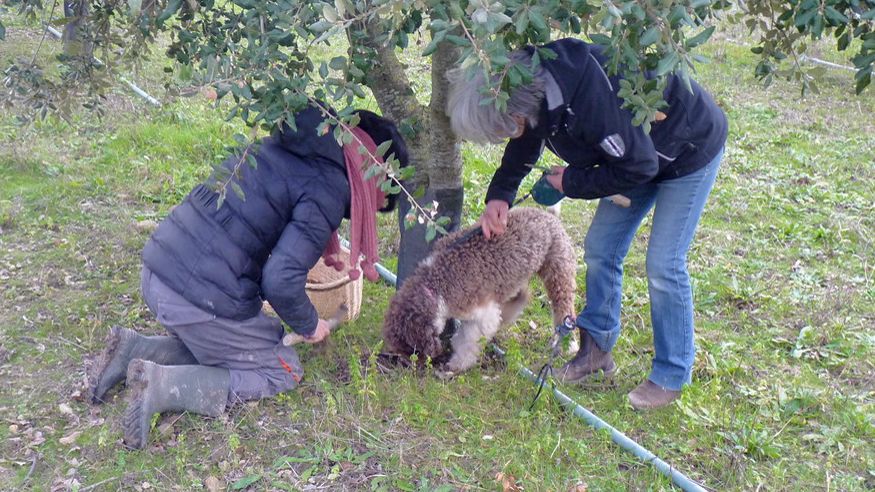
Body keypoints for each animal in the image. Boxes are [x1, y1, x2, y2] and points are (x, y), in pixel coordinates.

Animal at [382, 207, 576, 372]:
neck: (436, 283)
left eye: (412, 348)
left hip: (559, 272)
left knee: (564, 308)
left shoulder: (482, 315)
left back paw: (569, 343)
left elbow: (468, 342)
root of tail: (548, 214)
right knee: (519, 296)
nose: (411, 365)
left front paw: (456, 365)